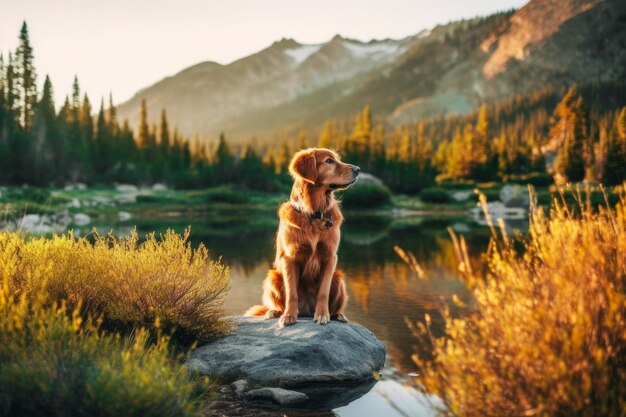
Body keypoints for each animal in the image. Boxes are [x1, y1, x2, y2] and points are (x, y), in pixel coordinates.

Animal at [245, 146, 358, 324]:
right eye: (329, 161)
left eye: (337, 159)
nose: (358, 170)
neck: (314, 214)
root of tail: (306, 311)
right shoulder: (290, 258)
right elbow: (292, 293)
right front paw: (289, 315)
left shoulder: (330, 256)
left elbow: (323, 292)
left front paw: (322, 314)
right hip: (272, 277)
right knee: (278, 303)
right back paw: (274, 312)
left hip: (338, 278)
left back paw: (339, 315)